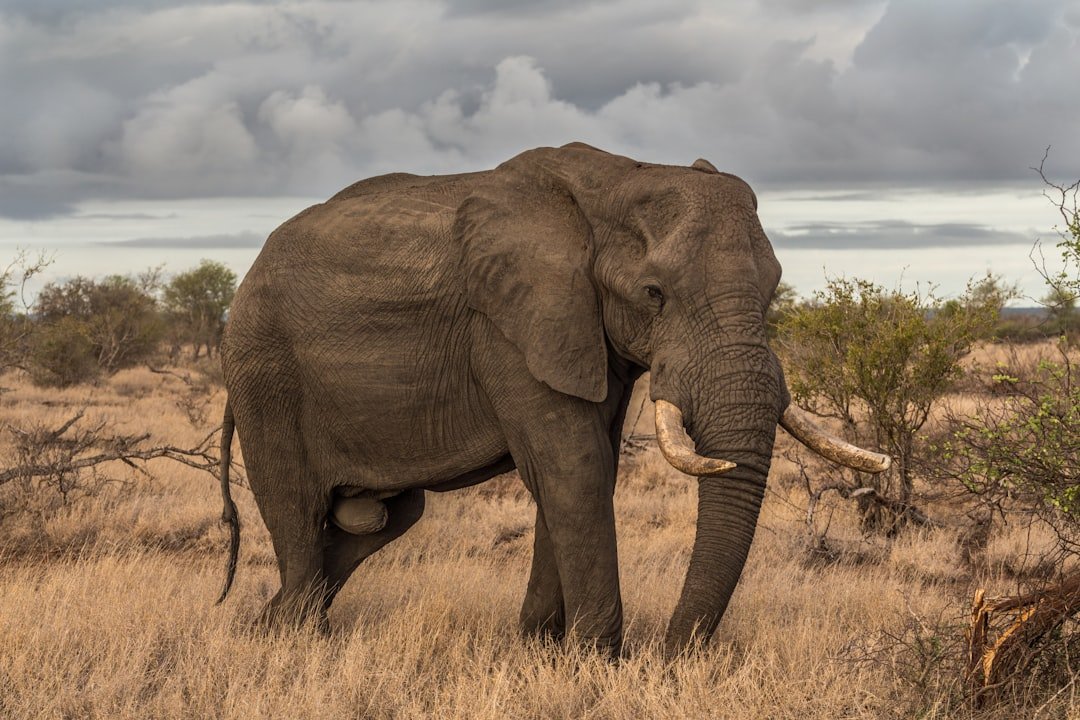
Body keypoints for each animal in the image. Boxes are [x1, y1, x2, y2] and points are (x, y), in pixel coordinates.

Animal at [215, 142, 889, 658]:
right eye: (654, 293)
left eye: (774, 288)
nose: (672, 657)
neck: (617, 179)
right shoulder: (509, 325)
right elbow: (575, 468)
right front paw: (596, 662)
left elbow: (585, 469)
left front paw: (536, 650)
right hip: (264, 371)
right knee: (299, 510)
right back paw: (294, 638)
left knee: (385, 518)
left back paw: (270, 623)